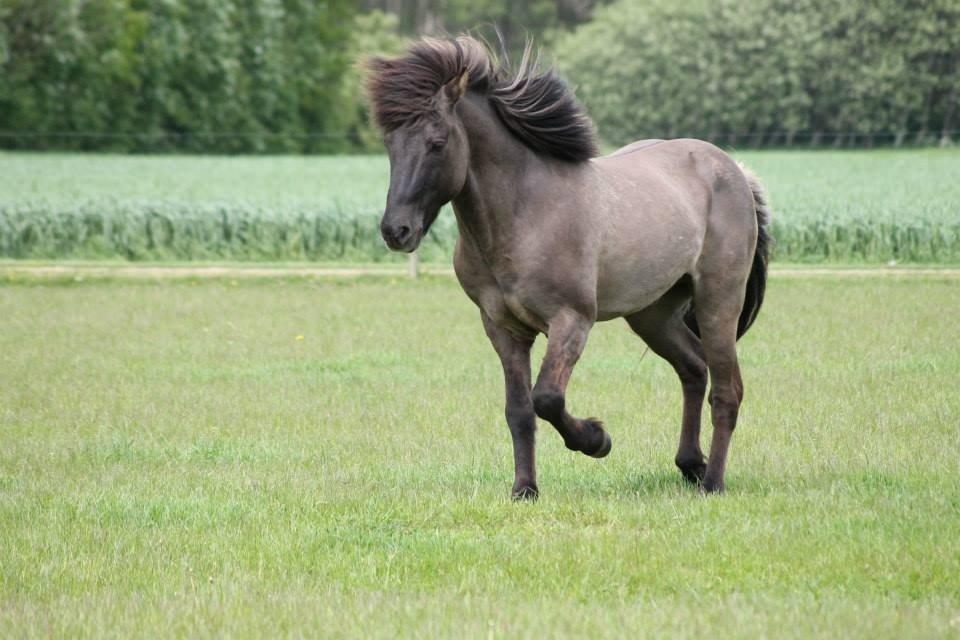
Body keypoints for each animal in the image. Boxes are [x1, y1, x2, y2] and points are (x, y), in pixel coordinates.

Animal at [368, 36, 772, 500]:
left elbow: (546, 398)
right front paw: (524, 489)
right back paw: (690, 464)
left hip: (718, 301)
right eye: (390, 144)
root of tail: (735, 171)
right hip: (653, 314)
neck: (525, 213)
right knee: (693, 368)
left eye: (436, 142)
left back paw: (713, 481)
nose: (396, 230)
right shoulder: (502, 328)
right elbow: (519, 410)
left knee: (727, 390)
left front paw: (597, 439)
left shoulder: (572, 320)